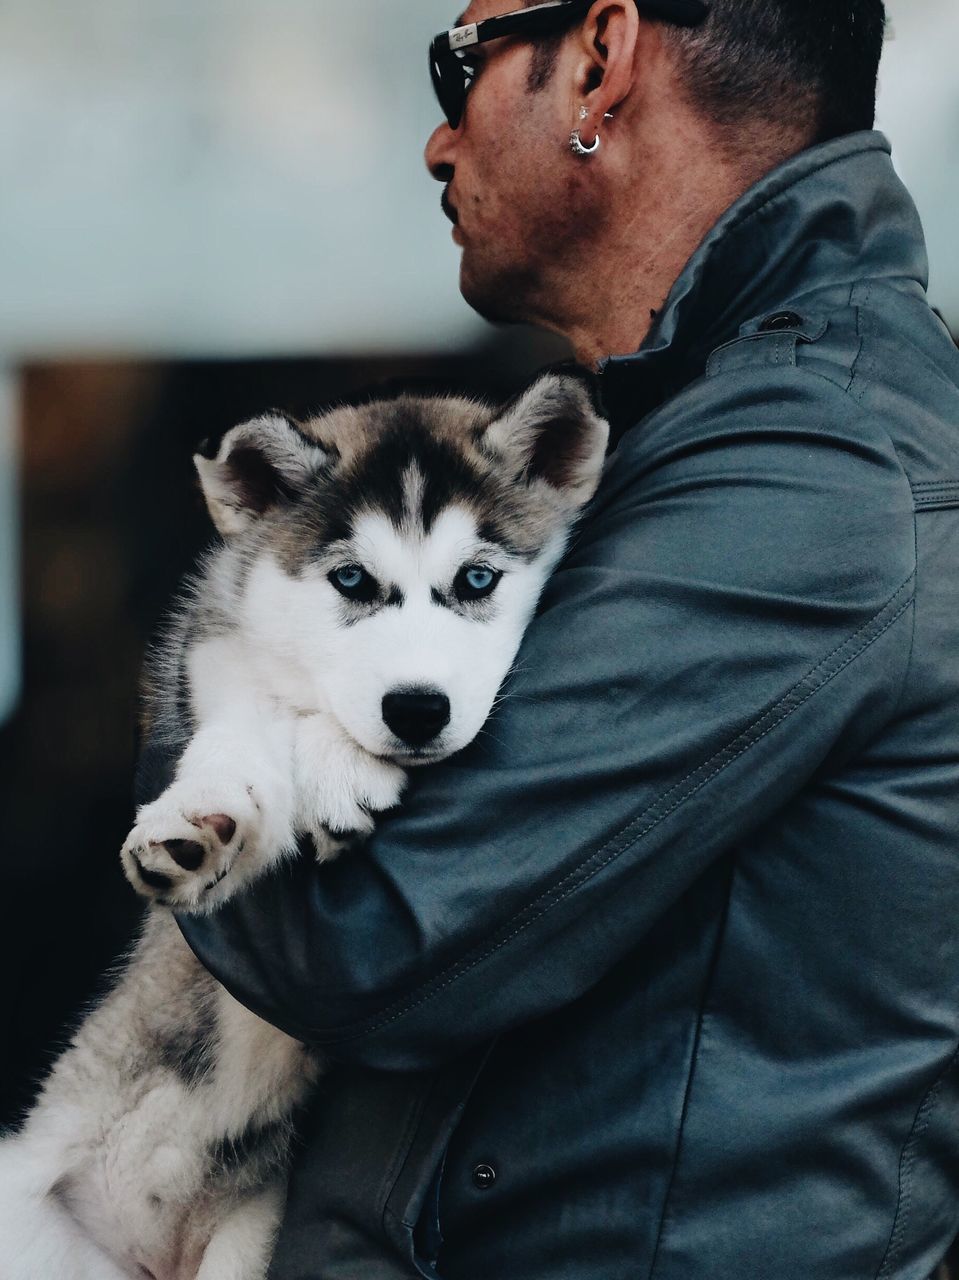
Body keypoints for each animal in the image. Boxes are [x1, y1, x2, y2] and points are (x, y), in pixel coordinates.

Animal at [0, 373, 606, 1280]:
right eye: (351, 581)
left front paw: (336, 766)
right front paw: (202, 818)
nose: (417, 709)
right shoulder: (212, 652)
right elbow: (242, 720)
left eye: (476, 580)